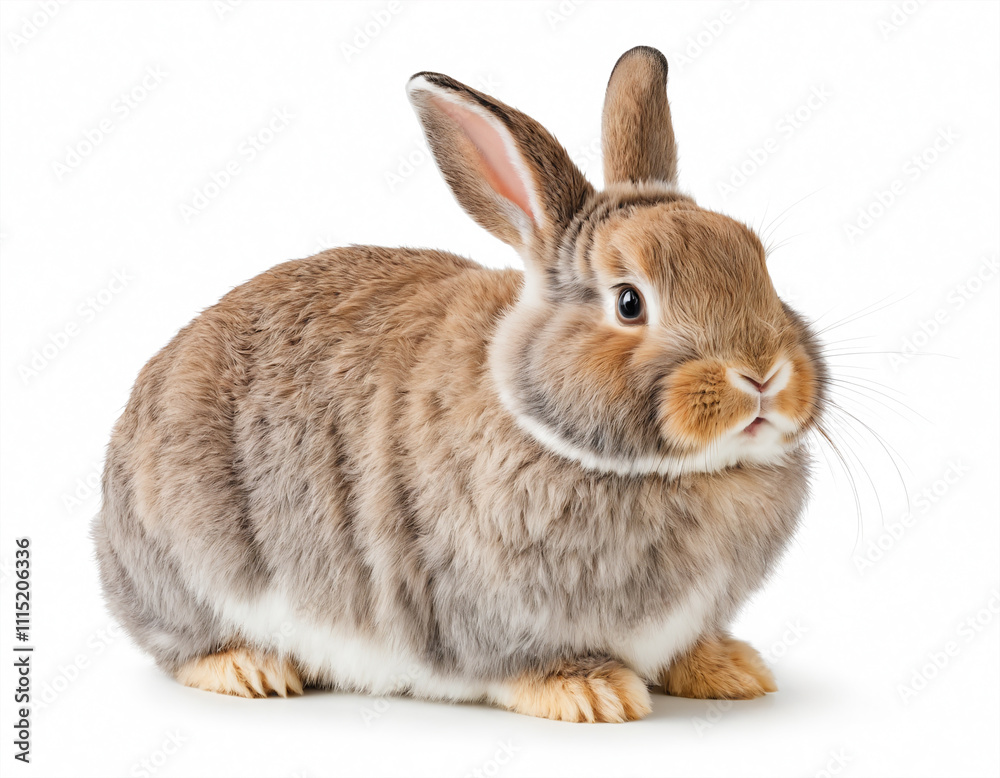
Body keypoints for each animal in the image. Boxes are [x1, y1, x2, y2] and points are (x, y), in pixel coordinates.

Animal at [92, 45, 826, 722]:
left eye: (758, 261)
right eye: (628, 302)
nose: (763, 374)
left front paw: (730, 669)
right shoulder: (480, 609)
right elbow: (517, 663)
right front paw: (591, 693)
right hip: (187, 564)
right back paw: (250, 670)